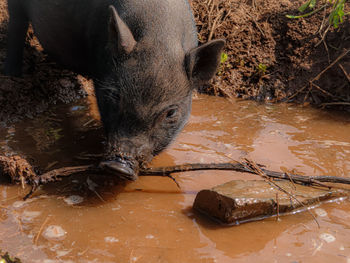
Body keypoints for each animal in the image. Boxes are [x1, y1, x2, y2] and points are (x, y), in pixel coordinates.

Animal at [3, 0, 224, 180]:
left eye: (171, 113)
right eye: (115, 96)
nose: (119, 166)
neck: (159, 37)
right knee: (15, 27)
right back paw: (12, 75)